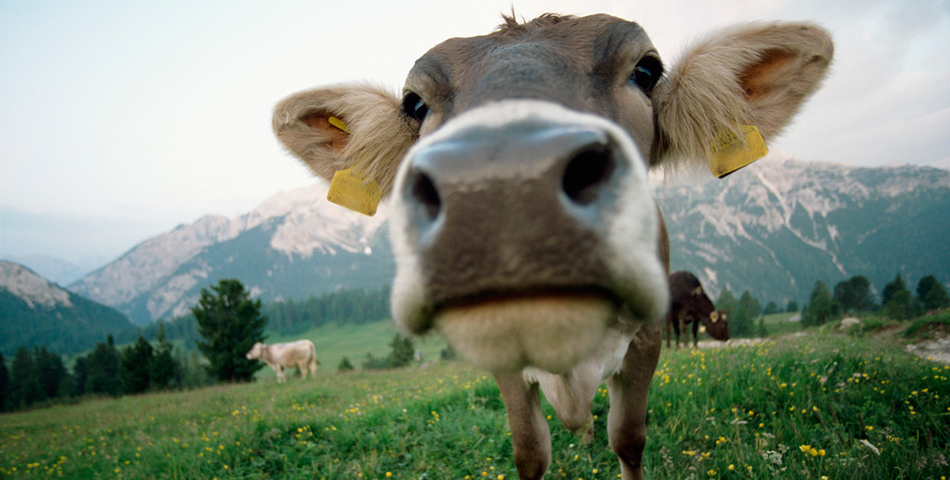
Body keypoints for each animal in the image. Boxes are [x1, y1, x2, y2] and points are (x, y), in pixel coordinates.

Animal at [270, 12, 832, 480]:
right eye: (415, 104)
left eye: (646, 70)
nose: (501, 184)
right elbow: (530, 451)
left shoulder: (649, 336)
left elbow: (629, 439)